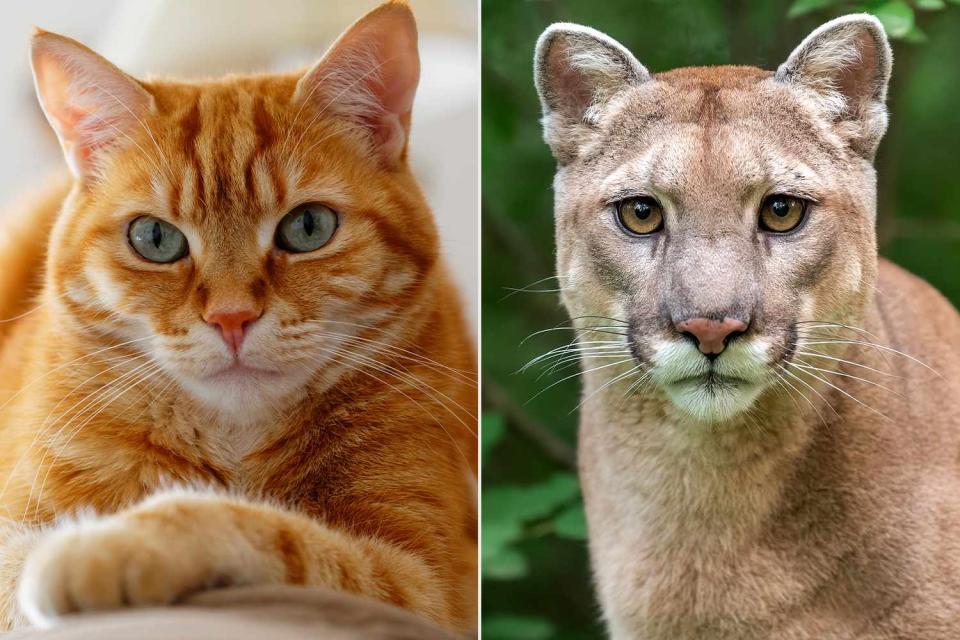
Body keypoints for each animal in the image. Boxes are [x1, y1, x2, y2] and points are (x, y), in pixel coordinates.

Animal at [0, 0, 476, 632]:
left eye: (308, 227)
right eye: (155, 238)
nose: (231, 318)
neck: (235, 446)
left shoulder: (425, 582)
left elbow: (268, 530)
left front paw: (102, 546)